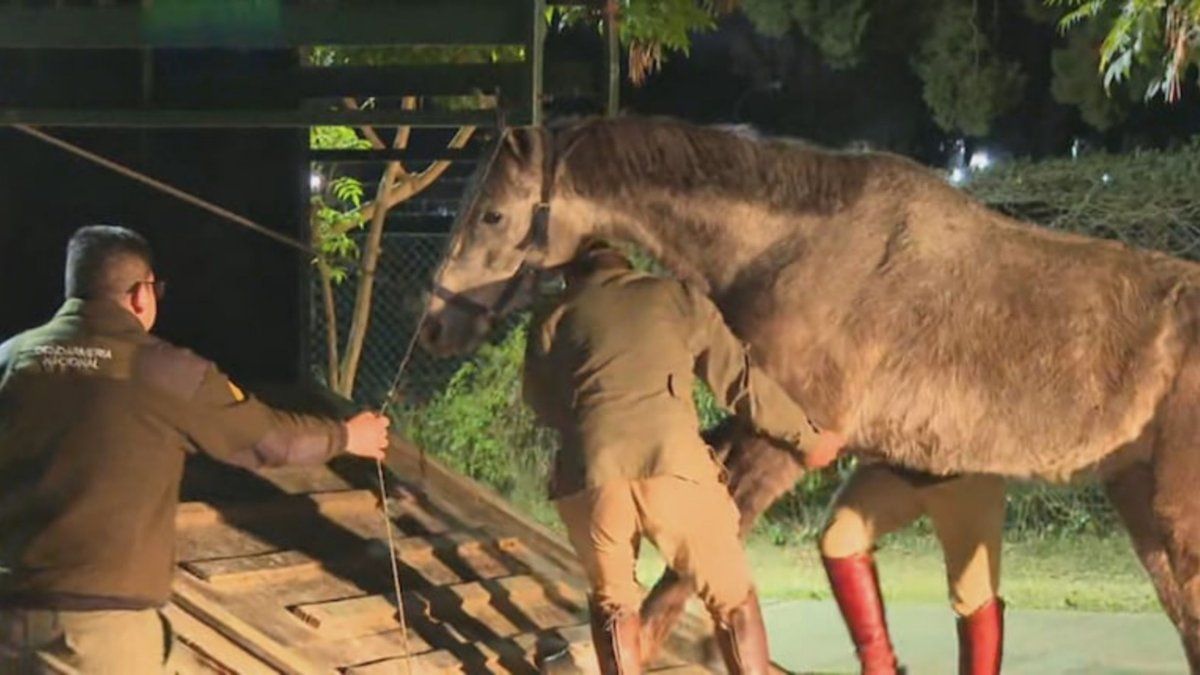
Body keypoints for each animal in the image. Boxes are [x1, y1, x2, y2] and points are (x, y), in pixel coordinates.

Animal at [417, 115, 1200, 667]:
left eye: (492, 215)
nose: (433, 326)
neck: (797, 249)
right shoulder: (753, 423)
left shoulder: (781, 445)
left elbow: (691, 570)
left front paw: (596, 649)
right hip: (1138, 506)